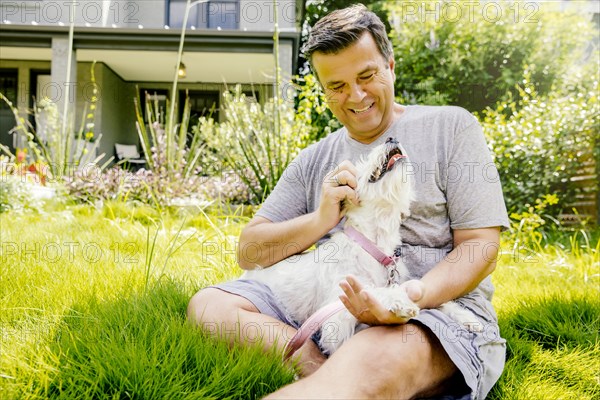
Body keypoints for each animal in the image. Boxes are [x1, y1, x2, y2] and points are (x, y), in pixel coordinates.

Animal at [241, 138, 476, 356]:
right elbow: (373, 290)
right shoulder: (336, 322)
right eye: (362, 164)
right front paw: (398, 300)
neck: (373, 247)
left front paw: (465, 316)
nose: (391, 138)